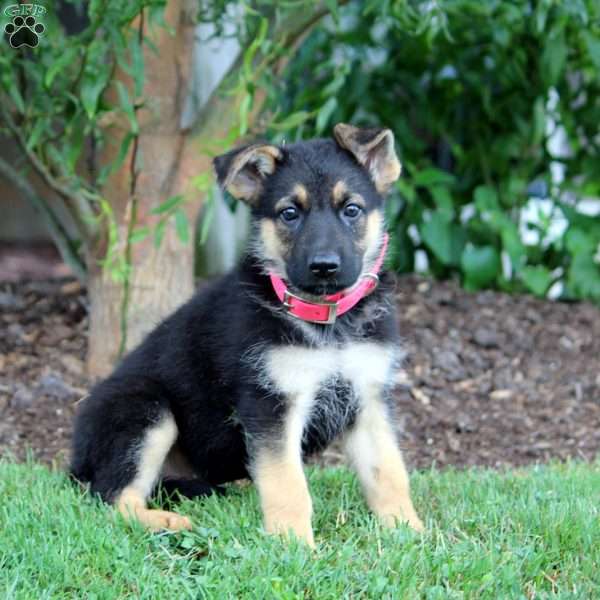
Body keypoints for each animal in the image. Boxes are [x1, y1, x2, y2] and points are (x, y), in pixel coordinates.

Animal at [71, 124, 422, 548]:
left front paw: (411, 533)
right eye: (290, 213)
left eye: (351, 209)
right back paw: (167, 522)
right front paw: (295, 545)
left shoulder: (367, 396)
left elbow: (388, 472)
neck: (327, 321)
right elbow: (288, 484)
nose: (324, 267)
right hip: (144, 408)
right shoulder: (271, 402)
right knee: (112, 499)